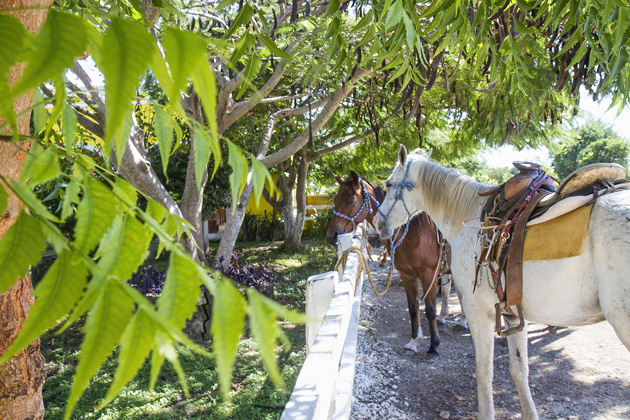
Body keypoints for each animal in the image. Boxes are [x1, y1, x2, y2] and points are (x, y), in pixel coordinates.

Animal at [328, 171, 466, 354]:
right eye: (336, 199)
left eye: (351, 200)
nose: (333, 235)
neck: (413, 233)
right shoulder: (407, 275)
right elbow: (413, 308)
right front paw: (414, 340)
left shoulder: (429, 275)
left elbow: (430, 309)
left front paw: (434, 345)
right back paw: (454, 318)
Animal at [378, 145, 630, 420]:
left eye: (389, 184)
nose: (379, 224)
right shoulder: (513, 315)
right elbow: (519, 370)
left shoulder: (479, 311)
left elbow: (483, 371)